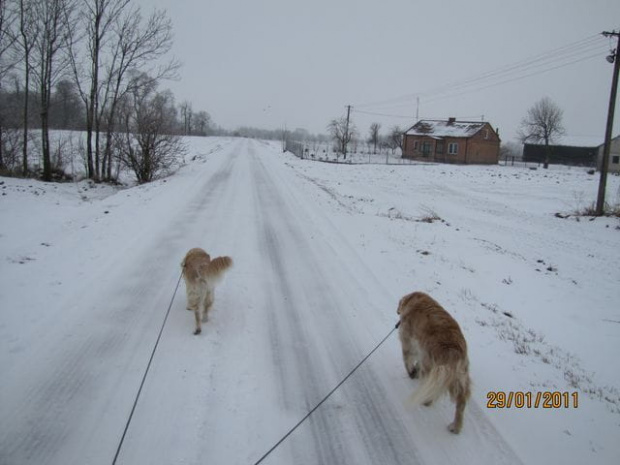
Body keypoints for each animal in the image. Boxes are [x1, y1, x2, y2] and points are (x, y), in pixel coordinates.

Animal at [398, 292, 470, 434]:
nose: (398, 311)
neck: (416, 299)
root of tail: (453, 351)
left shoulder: (409, 342)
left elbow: (407, 359)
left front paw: (411, 372)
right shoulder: (422, 351)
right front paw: (414, 370)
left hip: (433, 369)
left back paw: (426, 401)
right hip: (459, 378)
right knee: (461, 401)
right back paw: (456, 426)